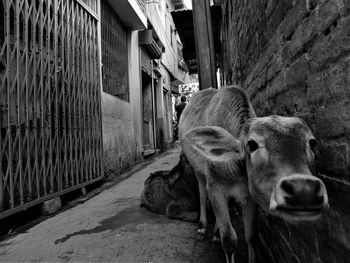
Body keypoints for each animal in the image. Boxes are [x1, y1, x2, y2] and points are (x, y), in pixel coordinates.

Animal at [140, 86, 328, 263]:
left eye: (312, 142)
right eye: (252, 144)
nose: (304, 190)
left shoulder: (250, 195)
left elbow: (251, 236)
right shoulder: (215, 187)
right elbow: (229, 239)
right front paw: (216, 234)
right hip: (198, 171)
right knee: (202, 194)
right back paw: (202, 227)